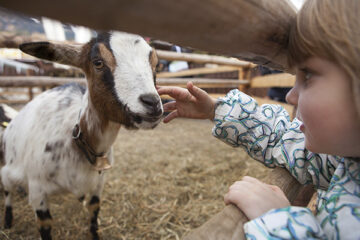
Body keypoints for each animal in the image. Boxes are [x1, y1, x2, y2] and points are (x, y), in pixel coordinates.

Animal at [0, 31, 163, 240]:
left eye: (156, 64)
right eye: (98, 62)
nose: (152, 103)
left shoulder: (98, 184)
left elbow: (93, 212)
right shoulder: (38, 191)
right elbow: (45, 226)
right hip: (9, 170)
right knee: (7, 191)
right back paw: (8, 220)